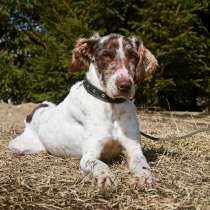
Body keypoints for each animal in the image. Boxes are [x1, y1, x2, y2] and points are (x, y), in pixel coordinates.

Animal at [9, 32, 158, 190]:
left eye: (133, 56)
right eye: (105, 55)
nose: (125, 85)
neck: (111, 106)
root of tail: (34, 112)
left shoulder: (134, 148)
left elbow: (142, 163)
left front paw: (143, 177)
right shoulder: (88, 156)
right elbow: (99, 164)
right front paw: (105, 177)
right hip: (24, 146)